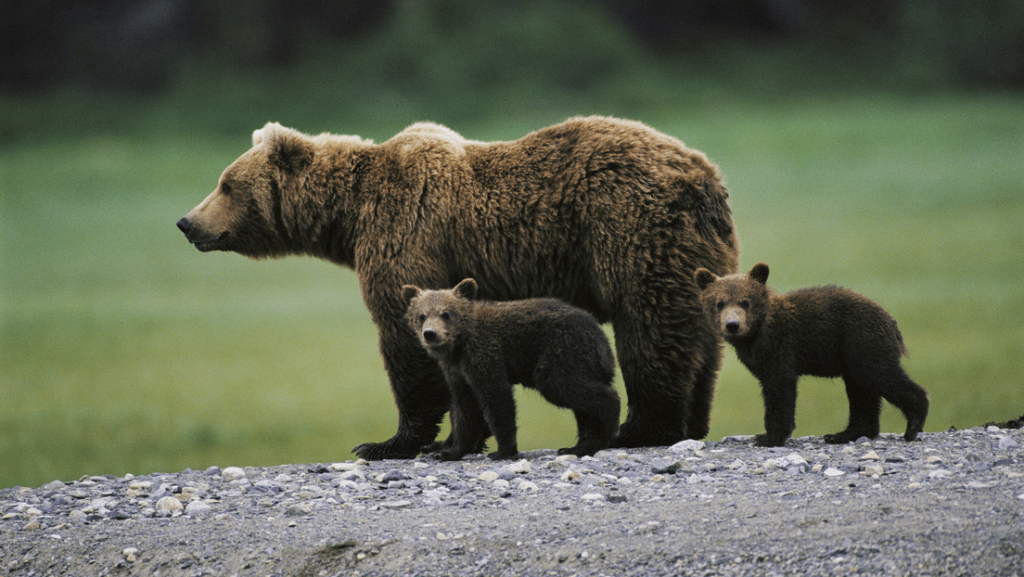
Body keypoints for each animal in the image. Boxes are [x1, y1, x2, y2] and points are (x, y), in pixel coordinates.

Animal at [403, 278, 618, 461]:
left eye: (446, 313)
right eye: (421, 315)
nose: (430, 334)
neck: (458, 346)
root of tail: (602, 338)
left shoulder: (485, 354)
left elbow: (497, 399)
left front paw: (503, 451)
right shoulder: (457, 373)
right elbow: (464, 409)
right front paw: (450, 451)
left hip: (562, 352)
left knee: (567, 387)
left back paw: (602, 434)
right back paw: (578, 446)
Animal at [696, 262, 929, 446]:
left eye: (745, 301)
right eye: (719, 303)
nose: (732, 324)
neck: (754, 335)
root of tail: (891, 321)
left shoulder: (780, 347)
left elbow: (779, 389)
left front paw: (768, 437)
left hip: (862, 341)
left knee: (881, 376)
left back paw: (913, 424)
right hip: (853, 356)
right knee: (862, 391)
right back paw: (842, 434)